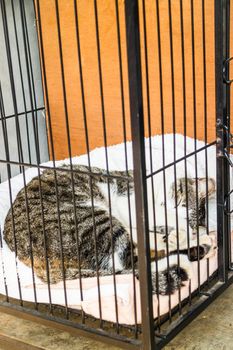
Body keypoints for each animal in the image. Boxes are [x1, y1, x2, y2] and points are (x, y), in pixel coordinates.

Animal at [2, 165, 216, 296]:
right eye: (180, 202)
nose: (171, 210)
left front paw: (182, 233)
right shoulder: (131, 200)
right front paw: (180, 230)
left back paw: (203, 245)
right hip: (93, 220)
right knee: (133, 263)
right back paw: (195, 250)